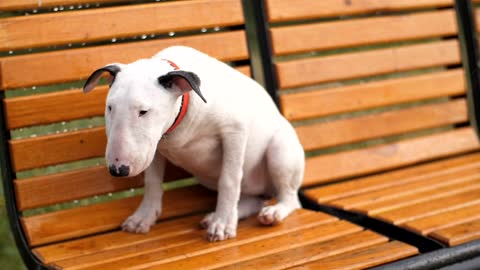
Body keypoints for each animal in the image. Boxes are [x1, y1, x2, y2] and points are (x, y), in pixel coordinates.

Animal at [82, 45, 304, 242]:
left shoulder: (235, 131)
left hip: (280, 152)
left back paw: (272, 212)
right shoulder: (154, 147)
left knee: (290, 198)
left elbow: (229, 180)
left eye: (143, 111)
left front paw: (223, 224)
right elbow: (152, 182)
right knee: (255, 200)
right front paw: (144, 217)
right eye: (110, 108)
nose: (118, 170)